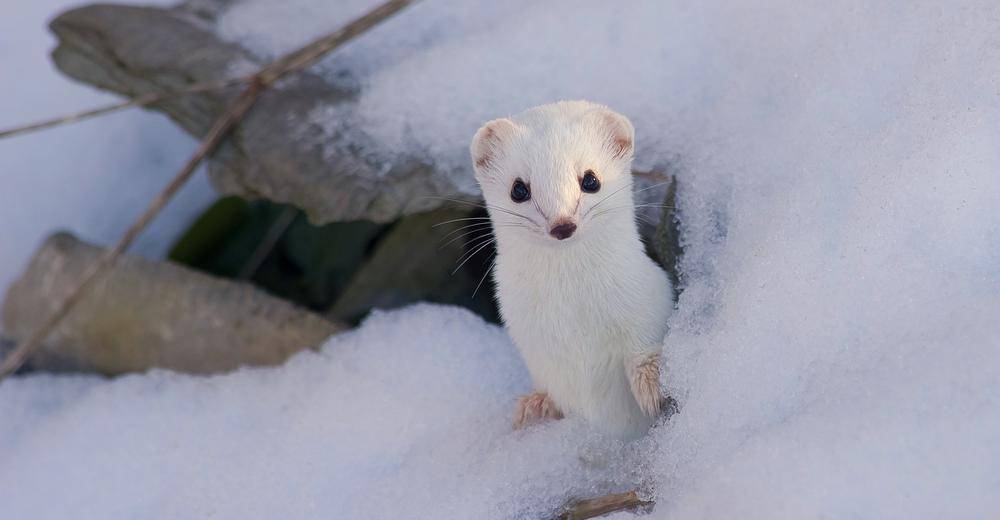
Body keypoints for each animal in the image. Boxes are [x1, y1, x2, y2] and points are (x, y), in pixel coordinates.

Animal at [472, 98, 676, 438]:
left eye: (591, 179)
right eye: (518, 189)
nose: (562, 224)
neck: (573, 317)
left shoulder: (648, 300)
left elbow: (644, 347)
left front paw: (651, 383)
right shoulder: (531, 341)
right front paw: (536, 406)